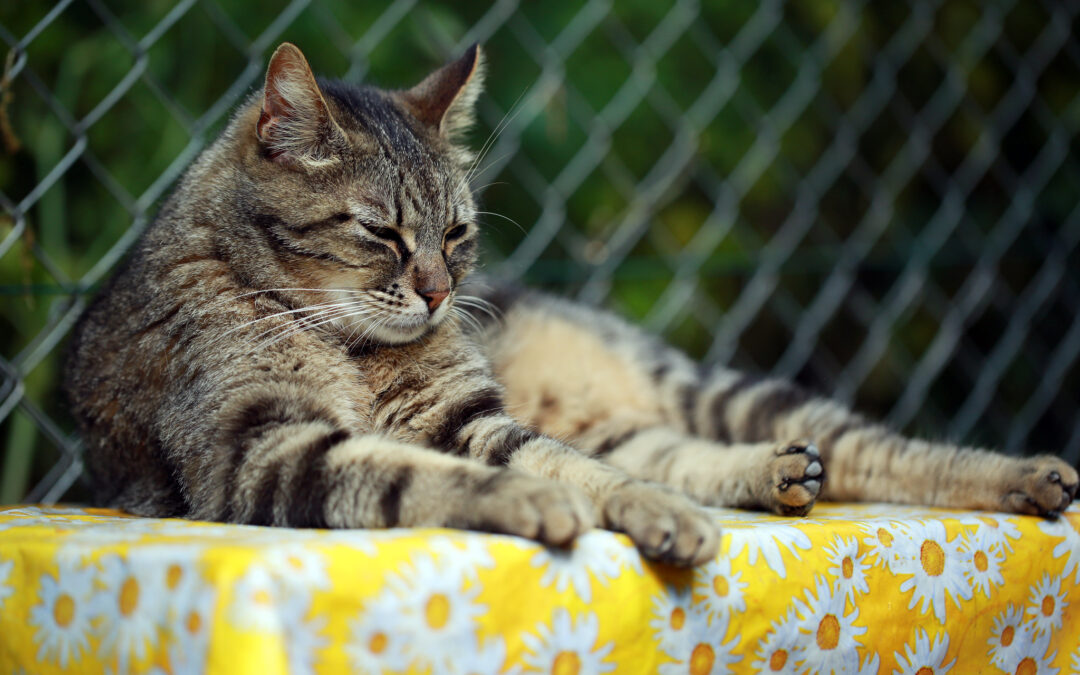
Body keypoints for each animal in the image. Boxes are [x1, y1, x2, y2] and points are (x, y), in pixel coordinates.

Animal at [63, 38, 1075, 561]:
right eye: (383, 233)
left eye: (457, 234)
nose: (441, 294)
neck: (351, 344)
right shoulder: (259, 449)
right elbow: (410, 471)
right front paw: (533, 504)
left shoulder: (468, 419)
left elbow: (569, 469)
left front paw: (631, 511)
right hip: (639, 418)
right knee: (689, 458)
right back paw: (773, 475)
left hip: (712, 389)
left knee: (871, 447)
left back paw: (1024, 475)